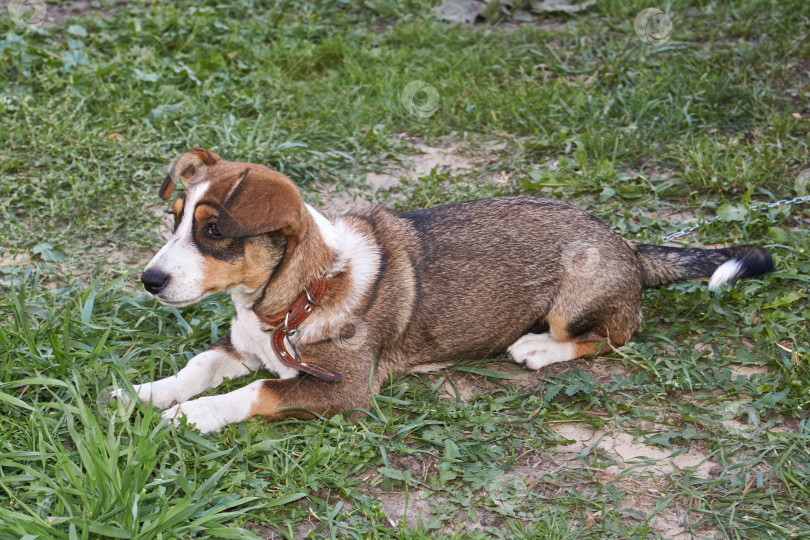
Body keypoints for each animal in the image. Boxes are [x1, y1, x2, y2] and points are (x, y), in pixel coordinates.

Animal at [112, 149, 772, 434]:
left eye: (215, 233)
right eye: (175, 220)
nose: (149, 281)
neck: (296, 299)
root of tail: (629, 247)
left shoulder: (345, 389)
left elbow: (255, 393)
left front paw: (186, 416)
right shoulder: (242, 347)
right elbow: (200, 366)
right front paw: (142, 393)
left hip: (578, 298)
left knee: (615, 335)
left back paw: (539, 348)